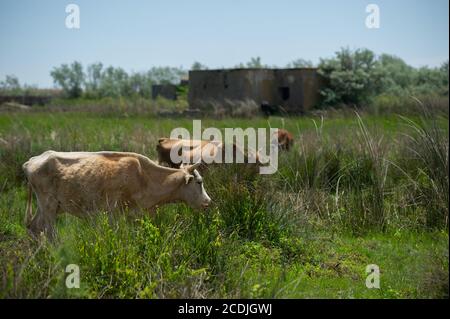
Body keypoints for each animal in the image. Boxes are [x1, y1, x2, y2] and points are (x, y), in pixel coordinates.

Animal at [22, 151, 210, 238]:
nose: (208, 201)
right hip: (48, 206)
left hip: (45, 207)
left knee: (34, 227)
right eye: (199, 182)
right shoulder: (115, 213)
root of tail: (32, 160)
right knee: (49, 232)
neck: (144, 177)